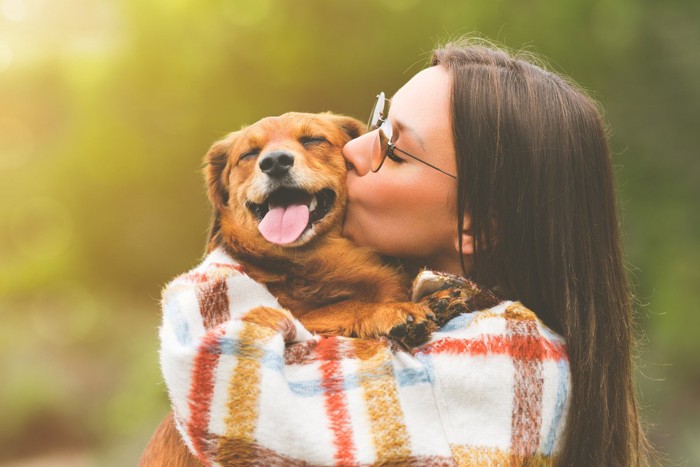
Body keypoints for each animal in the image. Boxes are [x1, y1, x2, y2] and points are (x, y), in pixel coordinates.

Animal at [142, 112, 432, 464]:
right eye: (249, 154)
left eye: (313, 140)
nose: (275, 162)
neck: (311, 260)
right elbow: (338, 308)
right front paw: (391, 311)